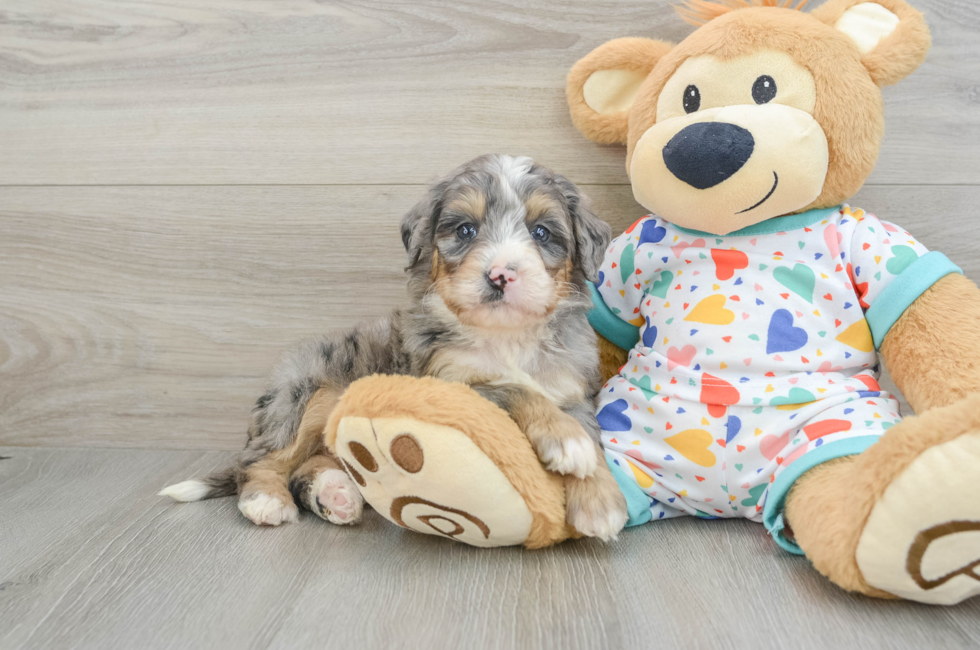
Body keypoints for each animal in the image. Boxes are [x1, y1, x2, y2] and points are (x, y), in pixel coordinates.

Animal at [163, 154, 628, 540]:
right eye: (466, 229)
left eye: (541, 232)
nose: (500, 274)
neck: (505, 337)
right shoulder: (448, 384)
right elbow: (516, 389)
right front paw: (566, 442)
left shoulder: (571, 387)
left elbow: (591, 433)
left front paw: (600, 500)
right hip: (307, 395)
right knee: (263, 461)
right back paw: (267, 500)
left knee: (309, 464)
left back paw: (336, 494)